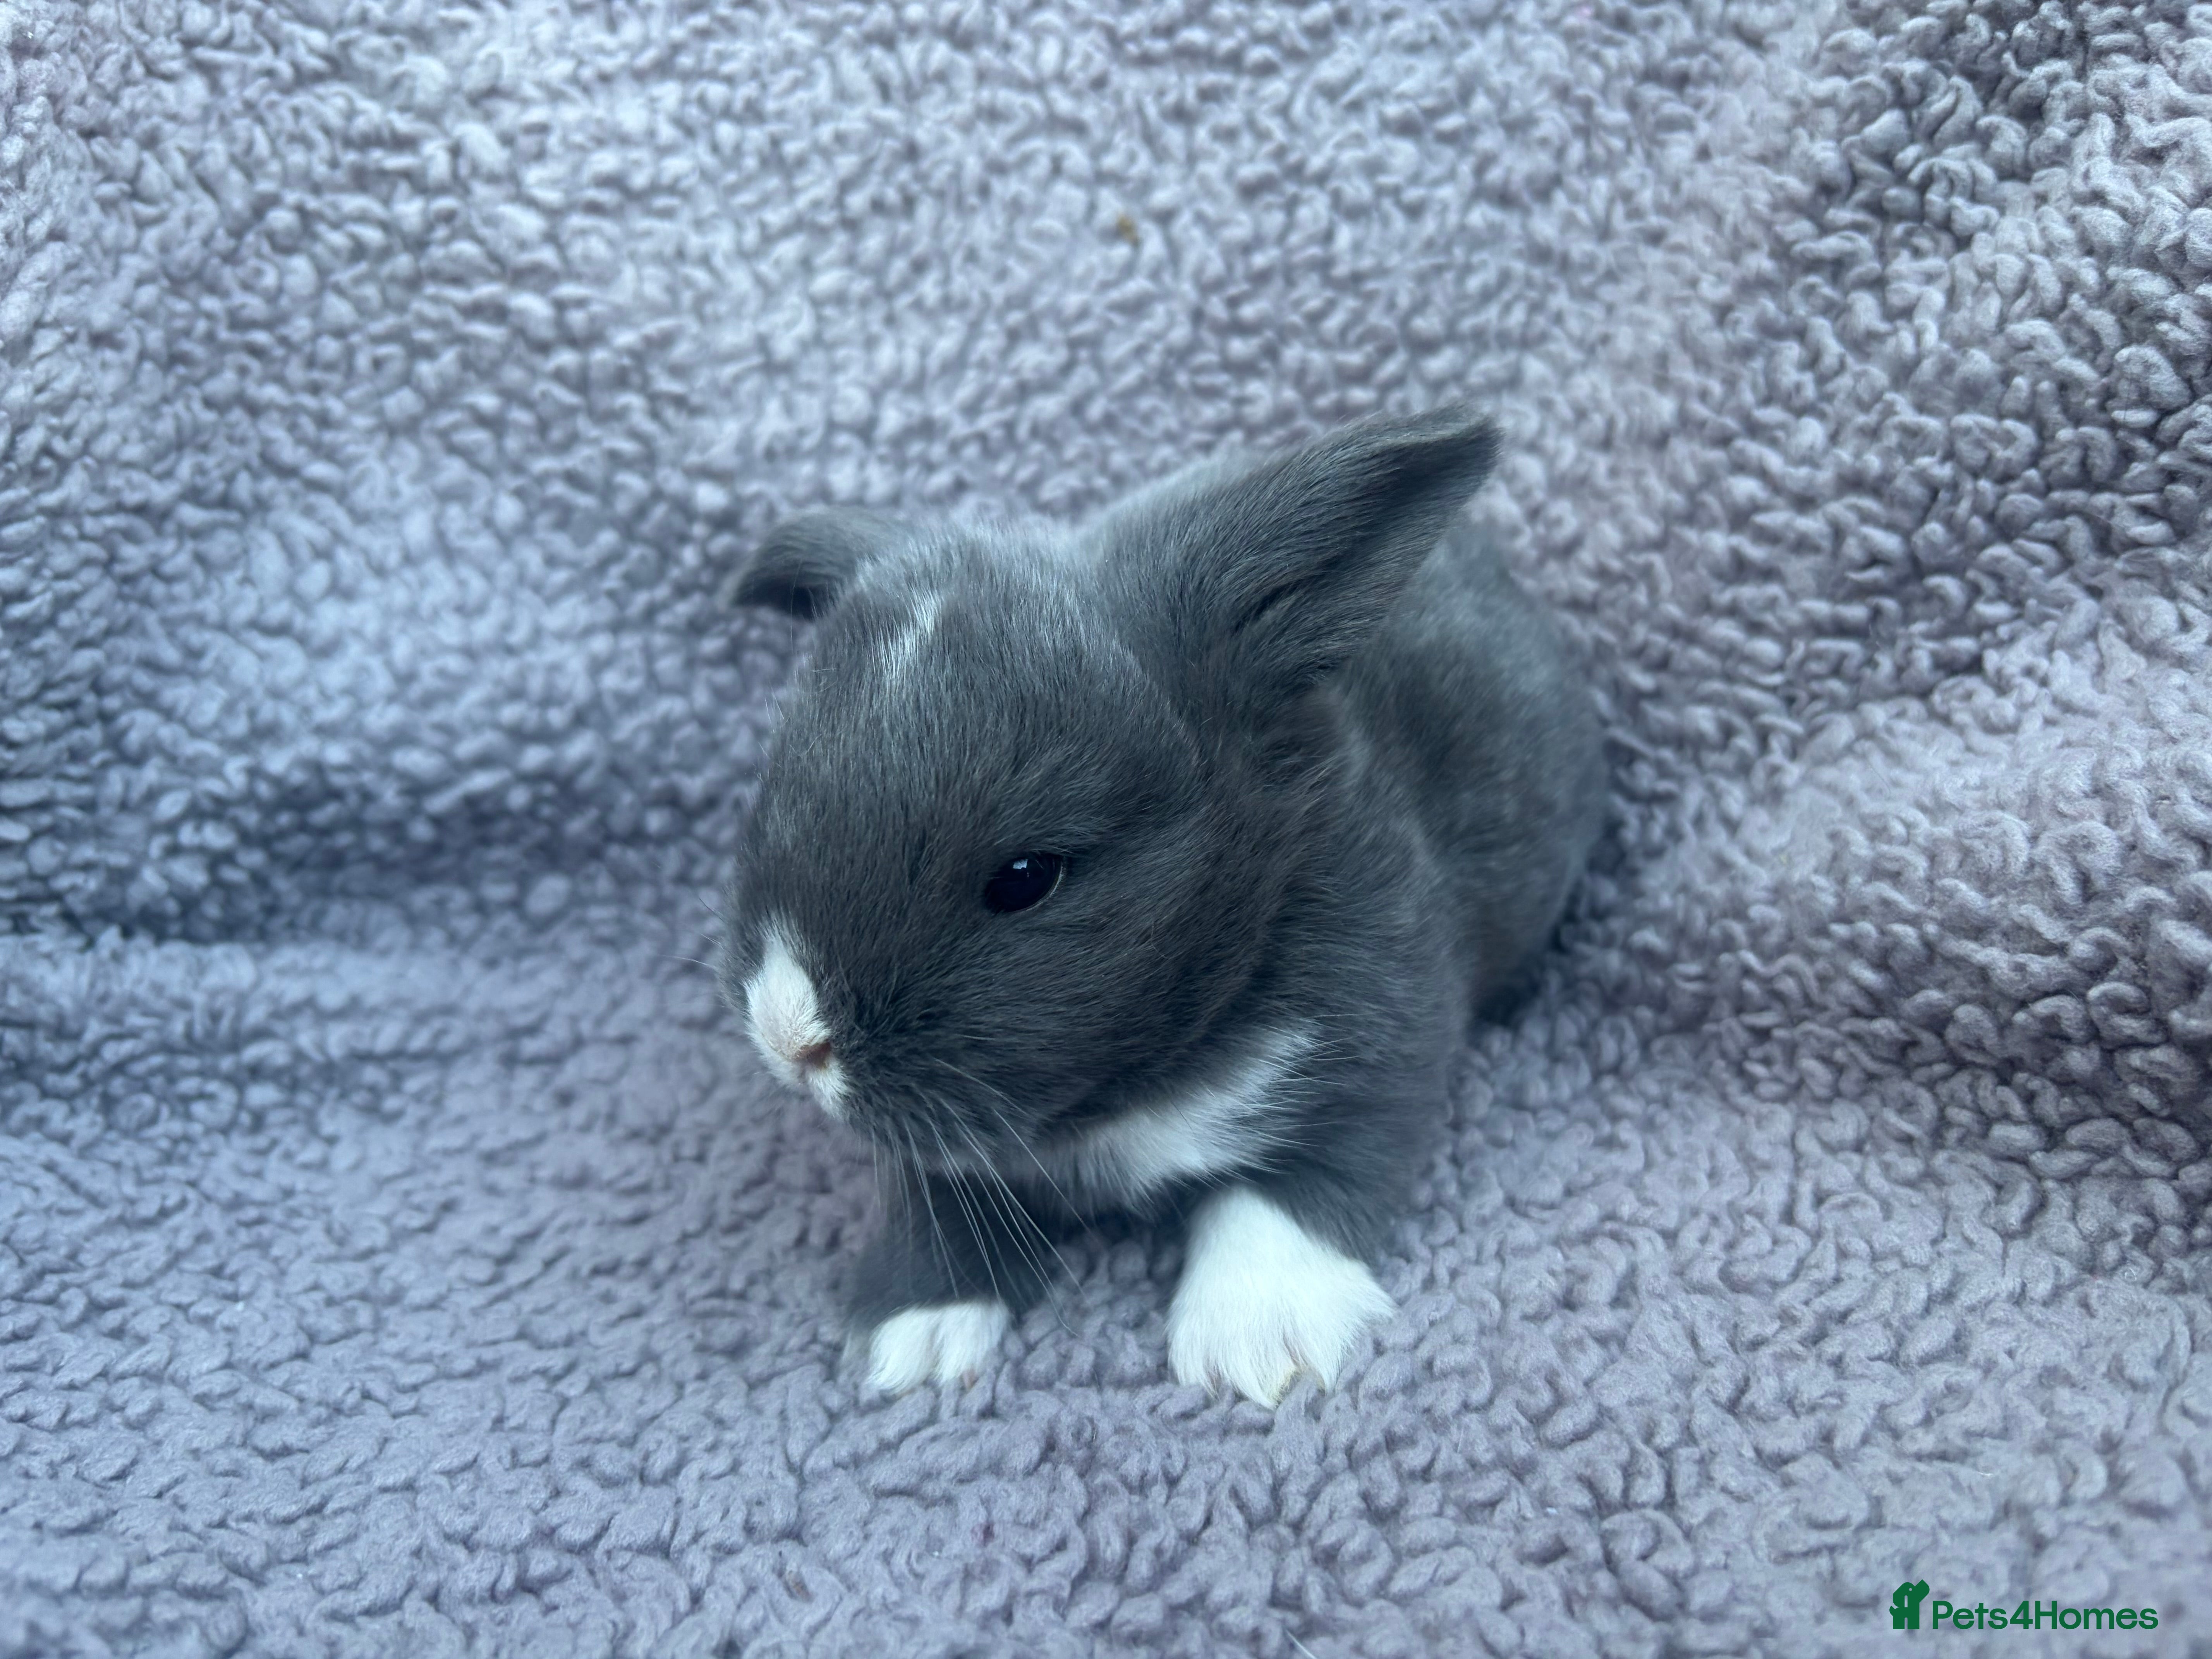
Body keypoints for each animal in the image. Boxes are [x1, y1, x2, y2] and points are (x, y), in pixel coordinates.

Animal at [717, 405, 1606, 1405]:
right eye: (776, 795)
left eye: (1025, 877)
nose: (792, 1039)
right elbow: (933, 1200)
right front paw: (916, 1339)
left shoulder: (1376, 1049)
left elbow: (1292, 1187)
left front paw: (1257, 1344)